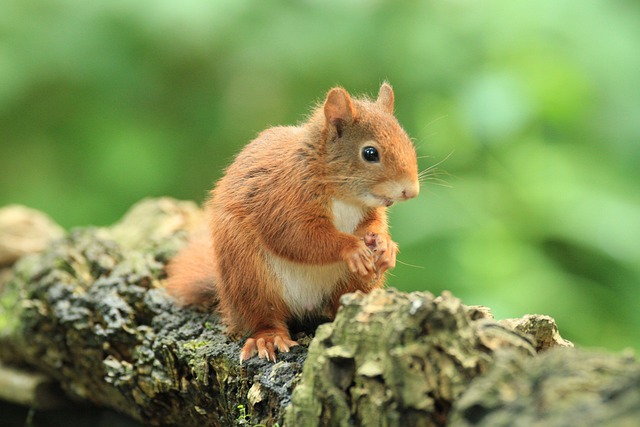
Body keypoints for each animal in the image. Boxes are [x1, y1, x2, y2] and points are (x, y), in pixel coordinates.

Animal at [166, 82, 419, 362]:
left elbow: (373, 225)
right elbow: (299, 237)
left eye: (408, 142)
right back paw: (268, 338)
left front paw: (385, 245)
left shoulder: (368, 211)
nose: (412, 191)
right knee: (263, 316)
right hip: (248, 274)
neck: (342, 194)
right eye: (370, 153)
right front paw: (353, 248)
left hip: (354, 283)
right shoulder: (283, 200)